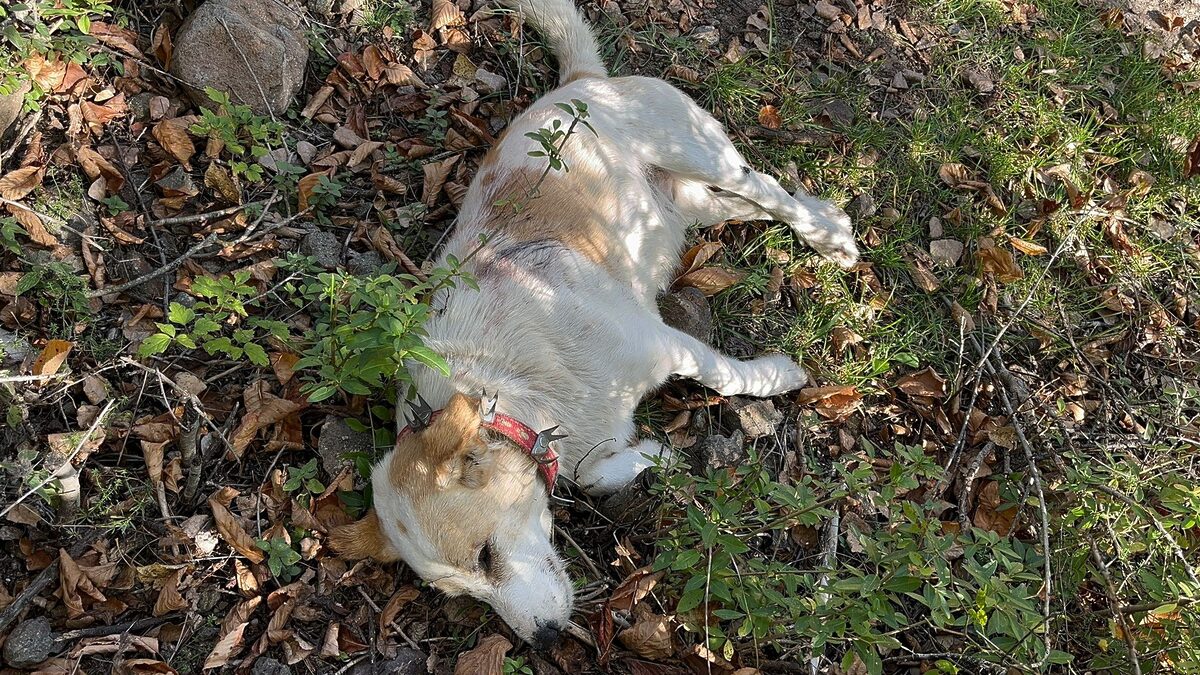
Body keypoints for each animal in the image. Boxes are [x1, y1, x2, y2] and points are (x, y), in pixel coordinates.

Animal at [326, 0, 854, 653]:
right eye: (463, 593)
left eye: (485, 555)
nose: (547, 640)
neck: (508, 387)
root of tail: (577, 83)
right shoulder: (572, 451)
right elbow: (596, 474)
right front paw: (655, 455)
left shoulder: (667, 345)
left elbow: (728, 377)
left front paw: (779, 377)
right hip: (692, 203)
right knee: (747, 206)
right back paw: (826, 222)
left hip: (699, 150)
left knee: (769, 190)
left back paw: (828, 235)